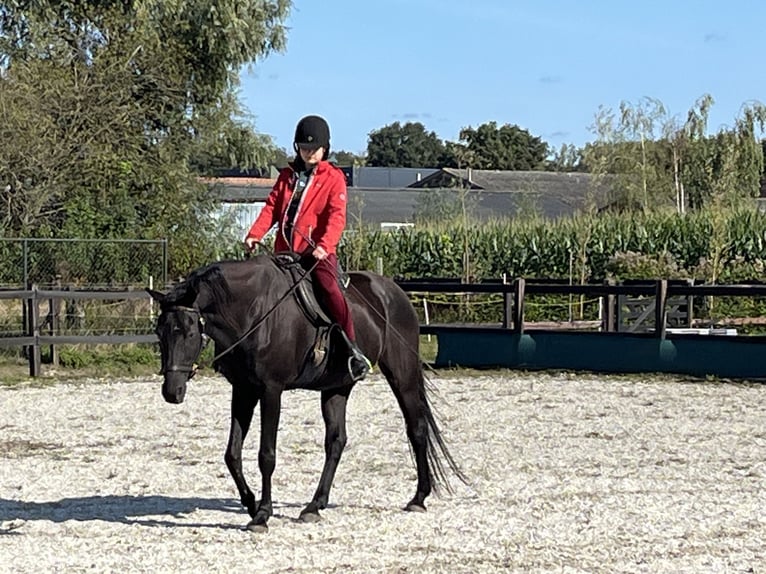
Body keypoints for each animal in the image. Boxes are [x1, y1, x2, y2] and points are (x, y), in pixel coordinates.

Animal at [148, 254, 462, 532]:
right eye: (160, 332)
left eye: (189, 332)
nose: (172, 391)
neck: (254, 311)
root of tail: (393, 291)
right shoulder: (243, 389)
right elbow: (232, 454)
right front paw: (251, 503)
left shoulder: (271, 391)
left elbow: (266, 455)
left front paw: (262, 514)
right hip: (336, 388)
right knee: (336, 441)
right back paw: (314, 506)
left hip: (402, 374)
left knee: (417, 428)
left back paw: (419, 498)